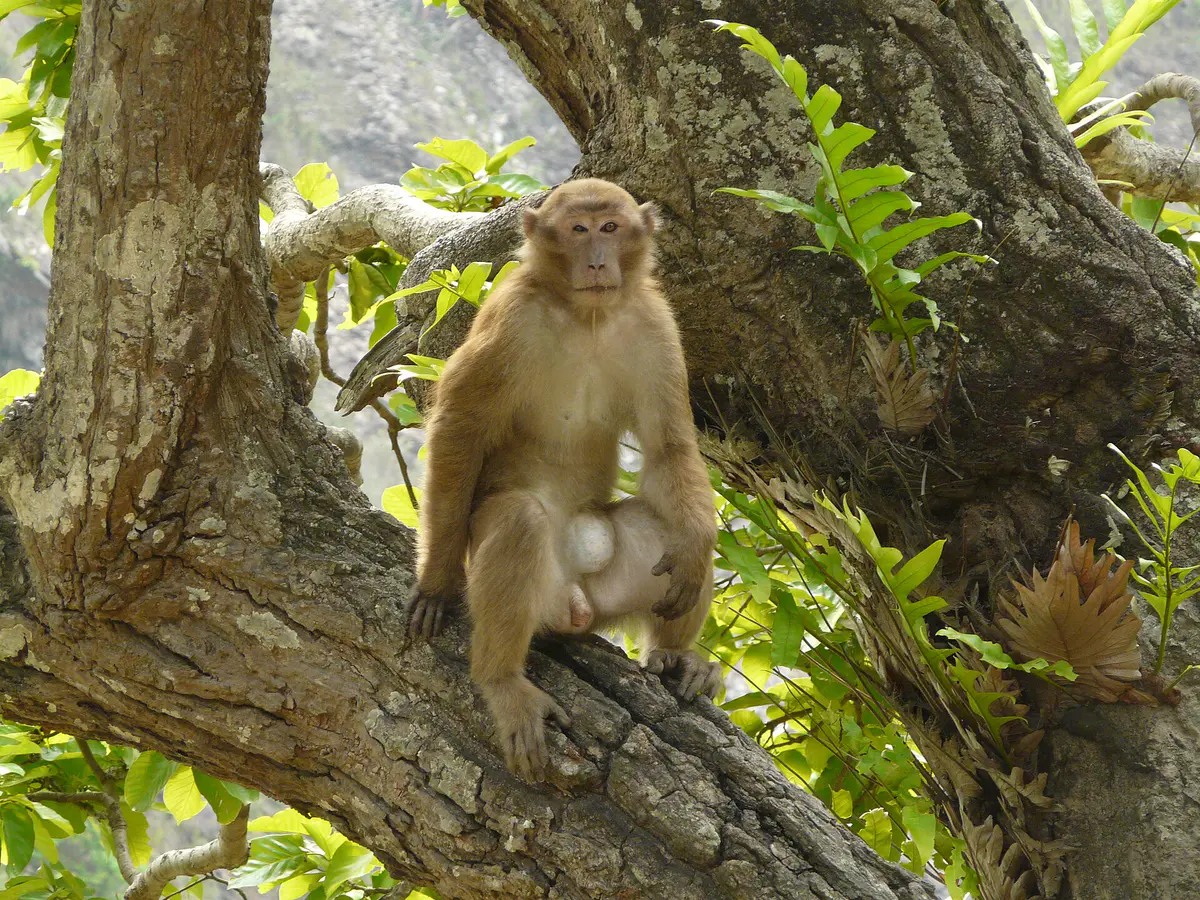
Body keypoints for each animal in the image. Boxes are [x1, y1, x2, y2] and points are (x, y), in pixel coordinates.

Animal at [408, 178, 719, 781]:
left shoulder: (654, 322)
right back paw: (503, 682)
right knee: (518, 522)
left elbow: (669, 449)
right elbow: (460, 425)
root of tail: (577, 598)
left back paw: (675, 656)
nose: (597, 260)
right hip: (543, 596)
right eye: (579, 230)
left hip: (607, 592)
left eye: (610, 228)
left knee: (662, 529)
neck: (586, 315)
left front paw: (696, 546)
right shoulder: (512, 316)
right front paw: (435, 581)